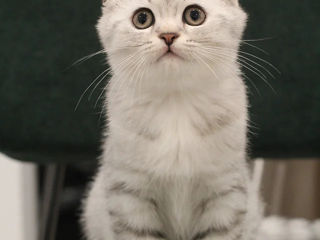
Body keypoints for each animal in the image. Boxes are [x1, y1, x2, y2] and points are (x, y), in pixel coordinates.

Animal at [82, 0, 262, 240]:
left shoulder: (226, 192)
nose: (168, 35)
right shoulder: (128, 195)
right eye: (142, 19)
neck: (176, 103)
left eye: (194, 15)